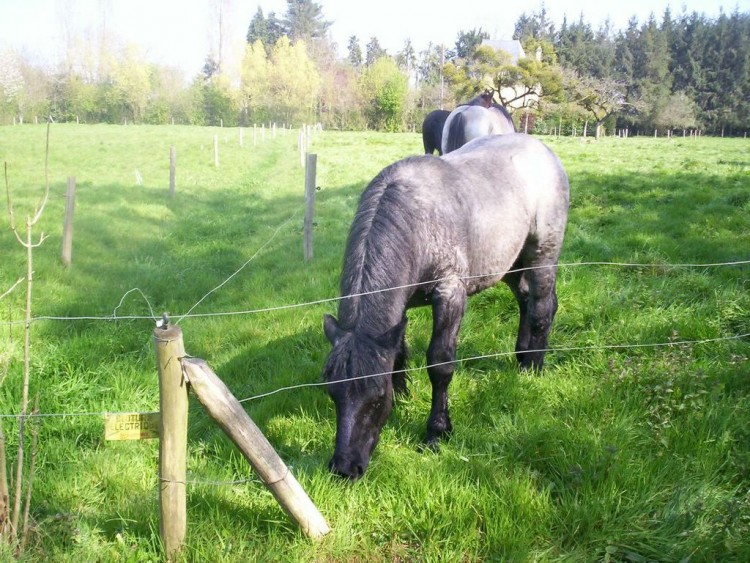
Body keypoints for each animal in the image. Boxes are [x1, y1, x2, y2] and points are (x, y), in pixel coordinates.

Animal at [322, 133, 568, 480]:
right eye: (332, 394)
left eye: (376, 397)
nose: (344, 468)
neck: (417, 222)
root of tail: (542, 149)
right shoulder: (400, 306)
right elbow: (398, 353)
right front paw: (403, 393)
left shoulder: (450, 295)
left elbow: (440, 364)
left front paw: (437, 432)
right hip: (509, 263)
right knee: (525, 300)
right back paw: (521, 356)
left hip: (542, 255)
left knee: (542, 309)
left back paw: (533, 367)